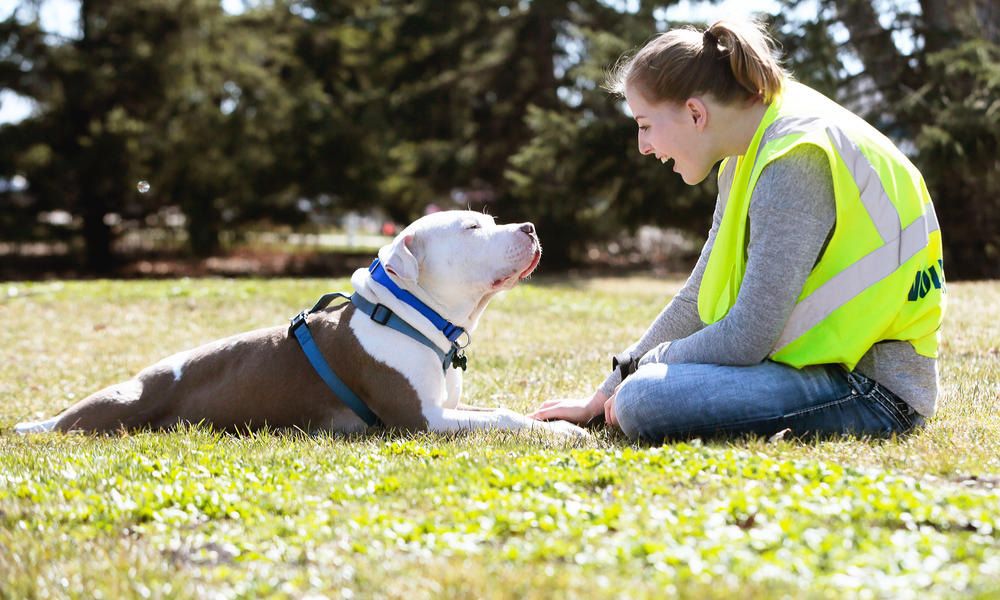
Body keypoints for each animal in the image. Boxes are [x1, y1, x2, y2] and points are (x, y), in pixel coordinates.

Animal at [13, 210, 584, 436]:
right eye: (471, 228)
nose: (530, 226)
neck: (409, 318)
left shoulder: (446, 408)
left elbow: (503, 411)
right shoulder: (422, 420)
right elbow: (506, 417)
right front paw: (559, 434)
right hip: (119, 406)